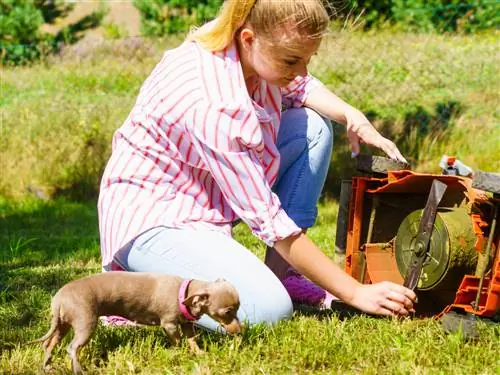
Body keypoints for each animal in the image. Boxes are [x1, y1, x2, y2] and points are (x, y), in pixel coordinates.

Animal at [27, 272, 242, 374]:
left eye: (238, 308)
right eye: (227, 312)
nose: (241, 331)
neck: (184, 293)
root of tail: (58, 299)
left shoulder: (186, 324)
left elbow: (191, 339)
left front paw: (199, 353)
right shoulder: (170, 324)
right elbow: (178, 341)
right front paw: (180, 354)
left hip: (61, 325)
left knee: (49, 344)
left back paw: (46, 366)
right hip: (85, 323)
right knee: (72, 348)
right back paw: (79, 370)